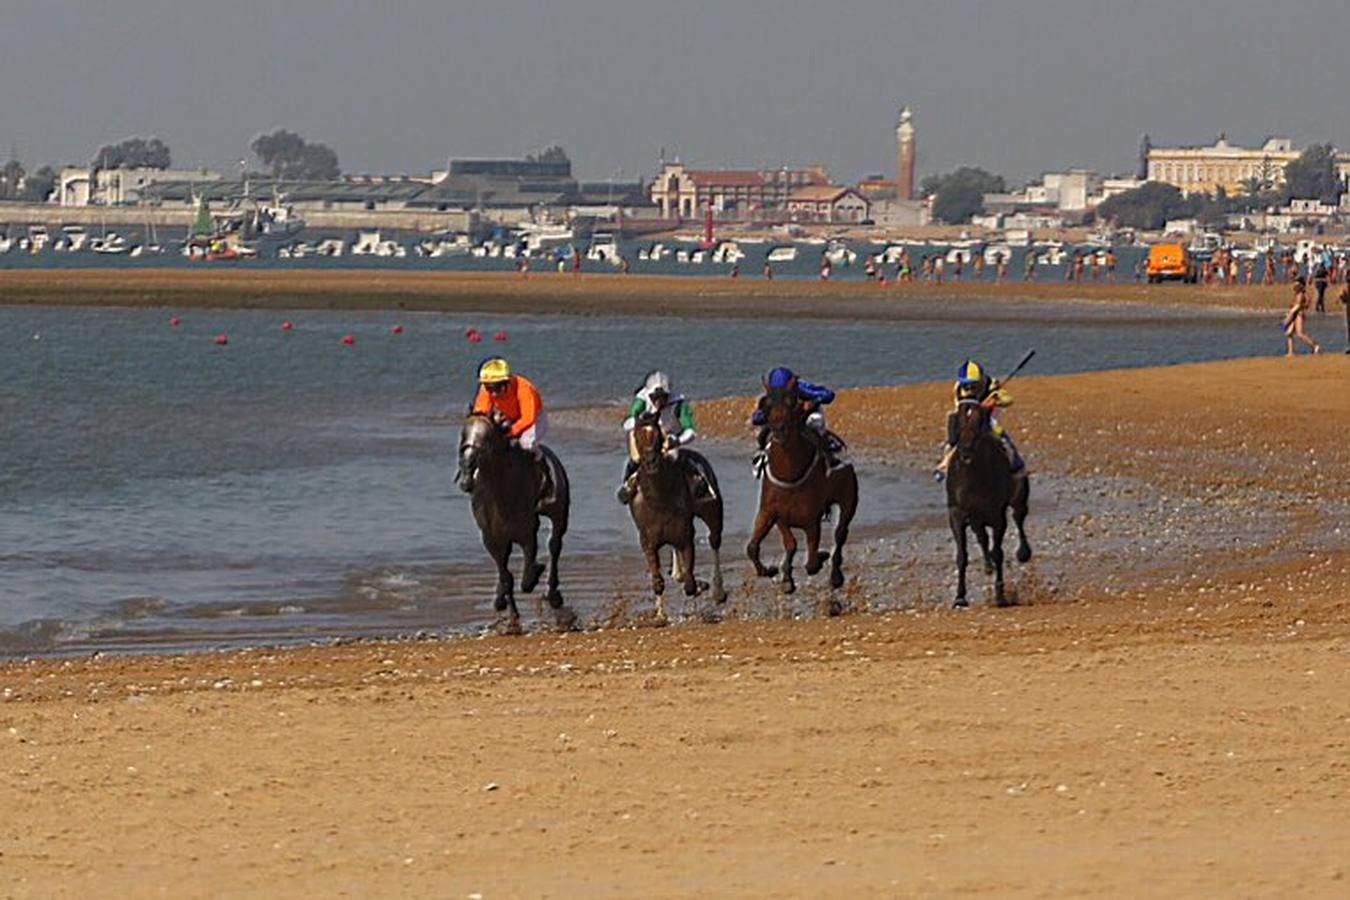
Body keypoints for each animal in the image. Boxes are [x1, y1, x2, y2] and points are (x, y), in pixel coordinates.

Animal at [459, 415, 575, 634]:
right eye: (464, 436)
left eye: (485, 440)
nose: (466, 479)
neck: (499, 494)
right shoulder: (492, 539)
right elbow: (506, 577)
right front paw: (511, 615)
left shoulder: (527, 532)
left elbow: (527, 576)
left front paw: (535, 572)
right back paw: (499, 599)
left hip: (558, 511)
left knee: (555, 545)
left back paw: (553, 594)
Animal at [623, 412, 723, 620]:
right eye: (637, 435)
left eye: (657, 435)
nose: (651, 462)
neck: (660, 499)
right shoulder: (648, 541)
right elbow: (658, 581)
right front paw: (660, 615)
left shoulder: (685, 536)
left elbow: (690, 584)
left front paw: (701, 585)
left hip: (713, 511)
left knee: (714, 540)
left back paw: (718, 591)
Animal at [745, 385, 858, 601]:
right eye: (765, 405)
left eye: (792, 405)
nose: (779, 429)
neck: (790, 474)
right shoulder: (773, 513)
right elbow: (773, 545)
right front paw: (778, 574)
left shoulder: (811, 518)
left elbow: (812, 562)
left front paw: (819, 558)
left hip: (849, 498)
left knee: (840, 533)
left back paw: (835, 575)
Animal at [950, 396, 1031, 609]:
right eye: (959, 420)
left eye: (980, 422)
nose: (965, 451)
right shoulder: (958, 514)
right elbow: (962, 555)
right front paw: (959, 597)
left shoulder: (997, 514)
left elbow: (998, 552)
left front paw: (1000, 596)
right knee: (982, 538)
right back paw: (987, 566)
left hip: (1019, 496)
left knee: (1018, 517)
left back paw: (1023, 552)